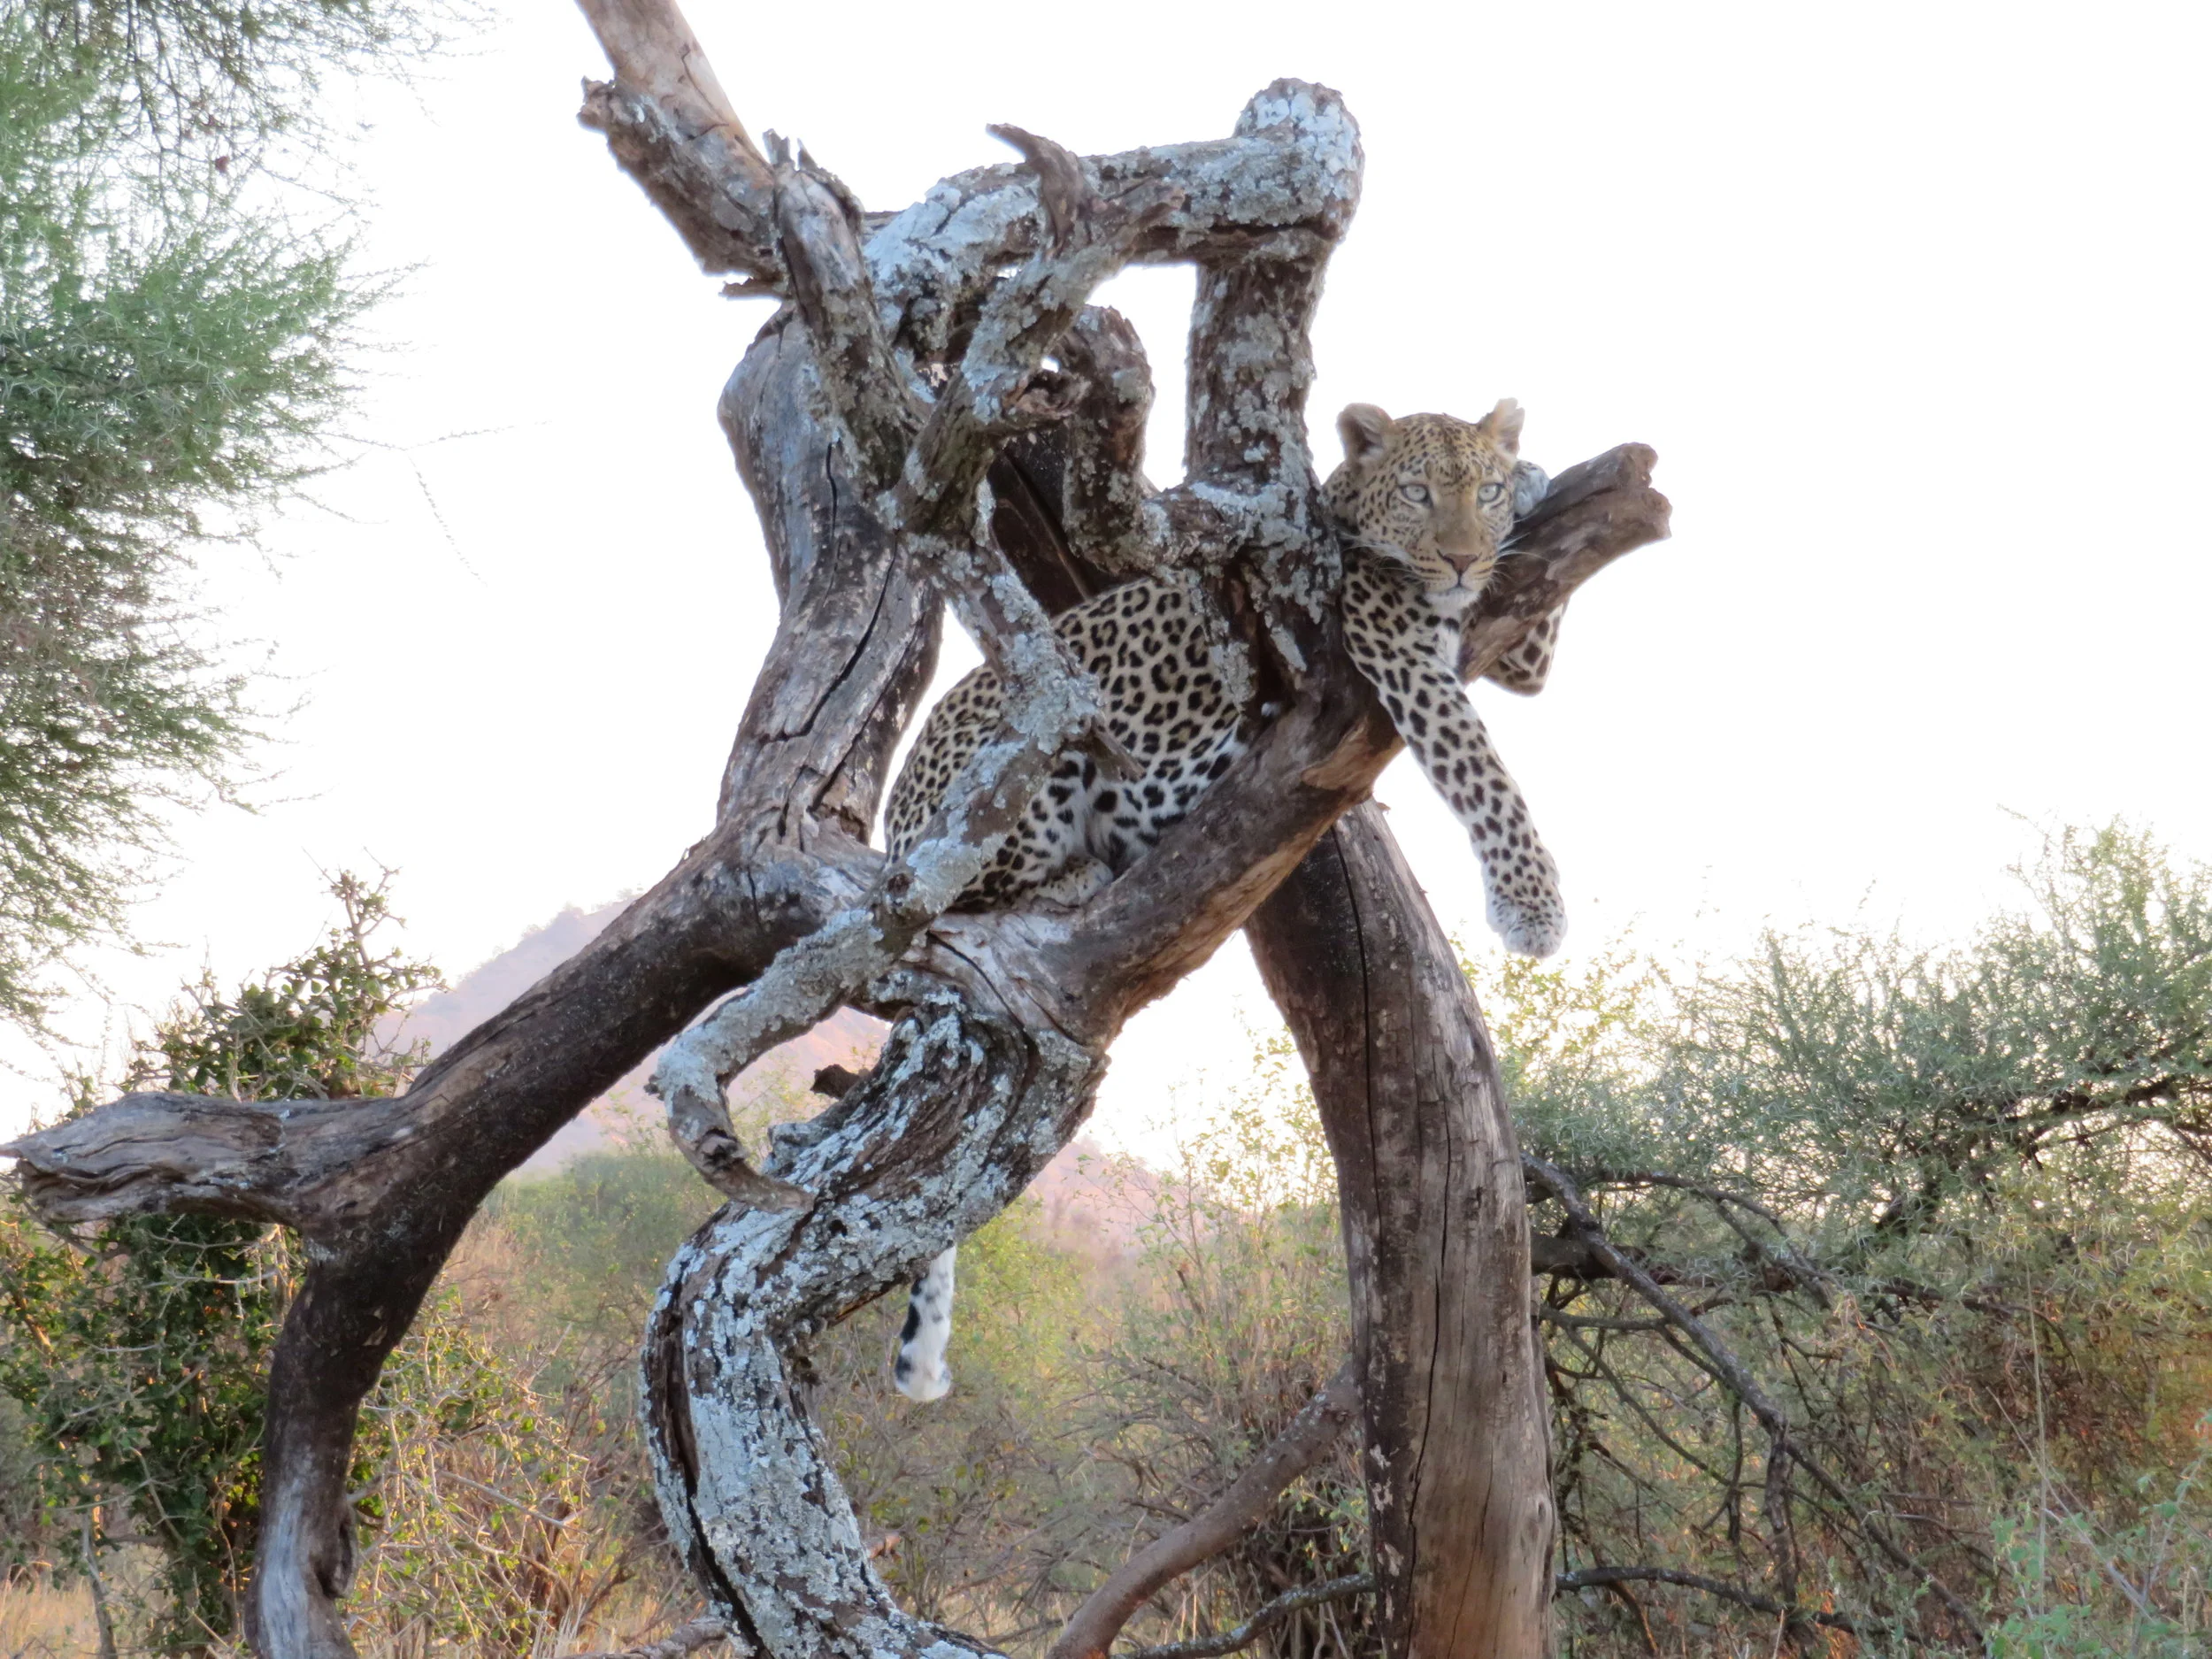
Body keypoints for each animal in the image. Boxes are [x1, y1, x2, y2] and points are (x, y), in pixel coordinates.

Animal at [883, 397, 1566, 1402]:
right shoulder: (1394, 644)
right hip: (1028, 742)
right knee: (964, 893)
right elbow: (1482, 769)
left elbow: (1536, 633)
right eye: (1416, 493)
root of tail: (889, 832)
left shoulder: (1507, 635)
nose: (1458, 560)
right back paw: (1076, 874)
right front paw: (1532, 905)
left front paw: (1533, 477)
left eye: (1475, 491)